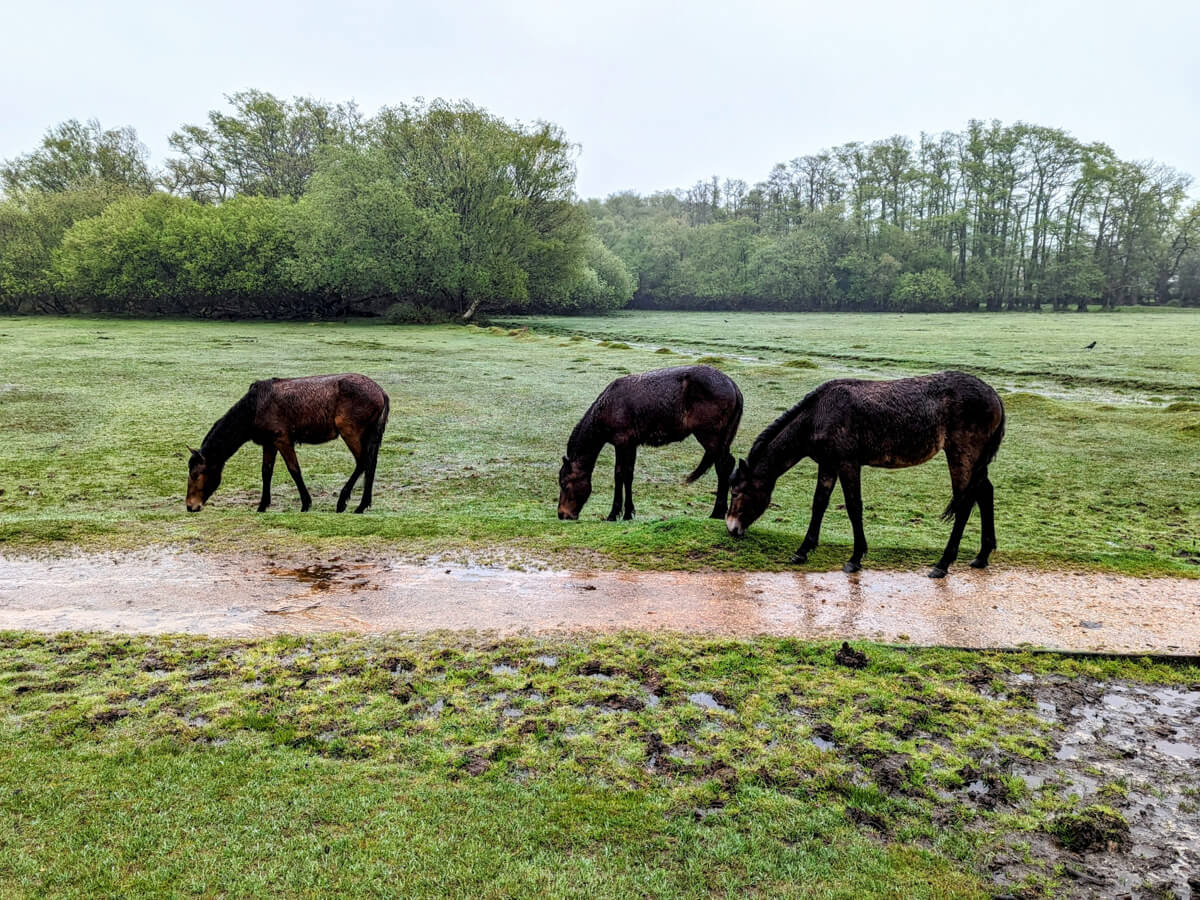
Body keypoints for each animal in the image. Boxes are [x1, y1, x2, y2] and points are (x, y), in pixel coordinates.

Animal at [186, 374, 389, 514]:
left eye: (196, 475)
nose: (190, 506)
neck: (253, 409)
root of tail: (382, 393)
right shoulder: (268, 443)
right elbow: (266, 472)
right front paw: (262, 505)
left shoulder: (282, 439)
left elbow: (294, 470)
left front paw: (306, 503)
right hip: (368, 434)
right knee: (370, 464)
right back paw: (362, 505)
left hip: (350, 431)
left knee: (363, 462)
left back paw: (343, 502)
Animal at [557, 365, 743, 521]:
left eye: (564, 484)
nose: (562, 514)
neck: (609, 405)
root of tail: (733, 385)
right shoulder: (631, 445)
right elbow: (628, 475)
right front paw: (628, 513)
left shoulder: (621, 443)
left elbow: (619, 475)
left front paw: (613, 514)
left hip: (710, 437)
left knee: (723, 466)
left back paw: (717, 512)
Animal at [725, 371, 1005, 578]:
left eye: (737, 492)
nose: (731, 527)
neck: (819, 414)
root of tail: (993, 394)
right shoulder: (828, 465)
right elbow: (819, 504)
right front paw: (803, 550)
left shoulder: (848, 464)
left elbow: (853, 506)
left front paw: (855, 557)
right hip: (975, 461)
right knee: (984, 492)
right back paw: (981, 556)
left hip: (961, 456)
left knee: (965, 503)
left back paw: (943, 564)